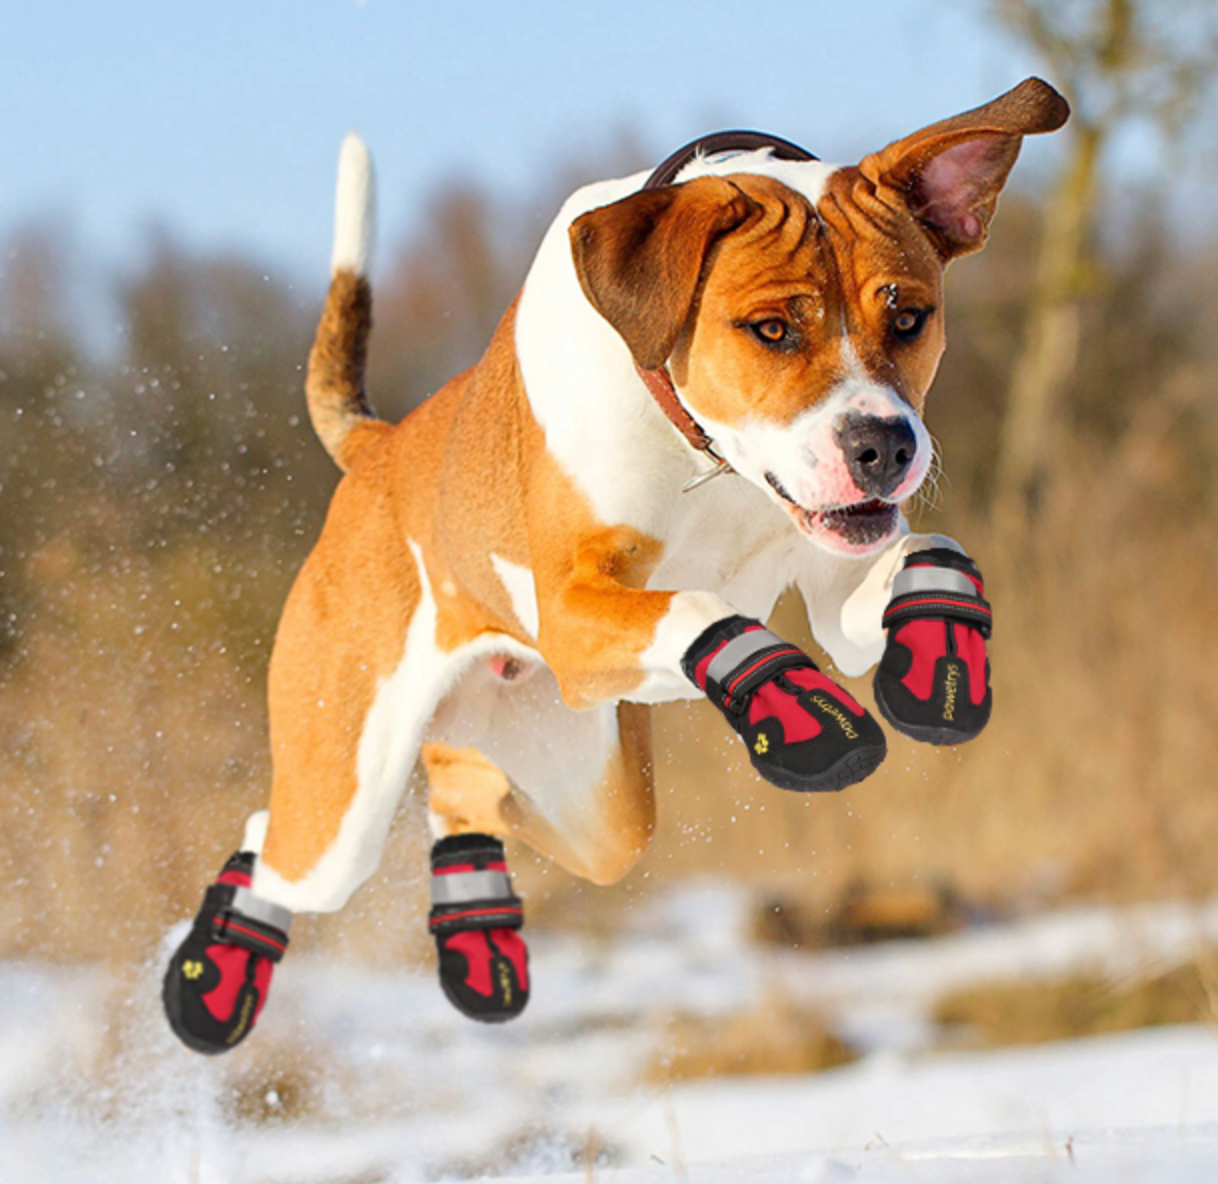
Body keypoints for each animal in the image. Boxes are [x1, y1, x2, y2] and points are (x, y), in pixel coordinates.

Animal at [164, 81, 1066, 1047]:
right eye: (772, 329)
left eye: (908, 317)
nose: (885, 446)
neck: (703, 456)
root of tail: (379, 449)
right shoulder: (571, 611)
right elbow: (697, 608)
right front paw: (800, 712)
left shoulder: (835, 580)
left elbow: (930, 551)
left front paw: (939, 662)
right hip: (344, 790)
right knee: (274, 839)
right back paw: (211, 976)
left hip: (585, 796)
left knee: (467, 794)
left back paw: (476, 932)